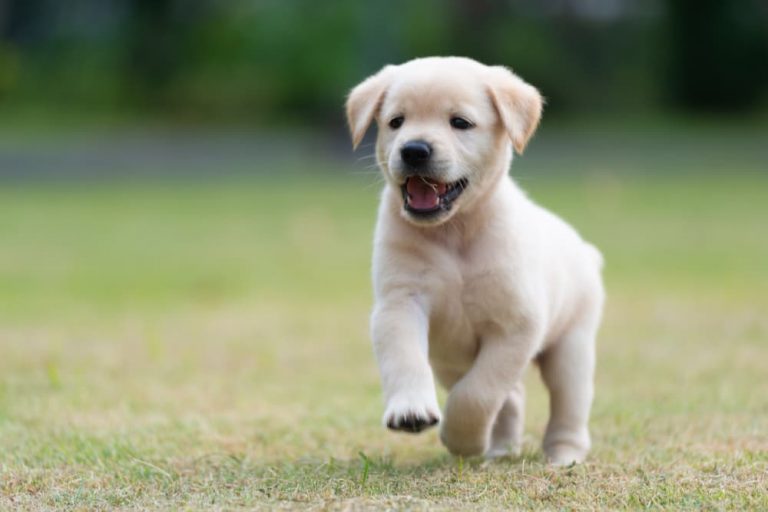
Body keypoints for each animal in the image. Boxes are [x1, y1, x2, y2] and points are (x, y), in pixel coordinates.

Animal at [344, 56, 604, 464]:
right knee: (511, 398)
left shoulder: (516, 326)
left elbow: (478, 393)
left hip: (572, 347)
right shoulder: (400, 303)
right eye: (396, 121)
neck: (455, 232)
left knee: (567, 404)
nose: (414, 150)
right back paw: (500, 447)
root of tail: (585, 251)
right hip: (449, 361)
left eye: (460, 122)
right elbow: (404, 358)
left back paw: (564, 455)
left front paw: (462, 439)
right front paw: (411, 410)